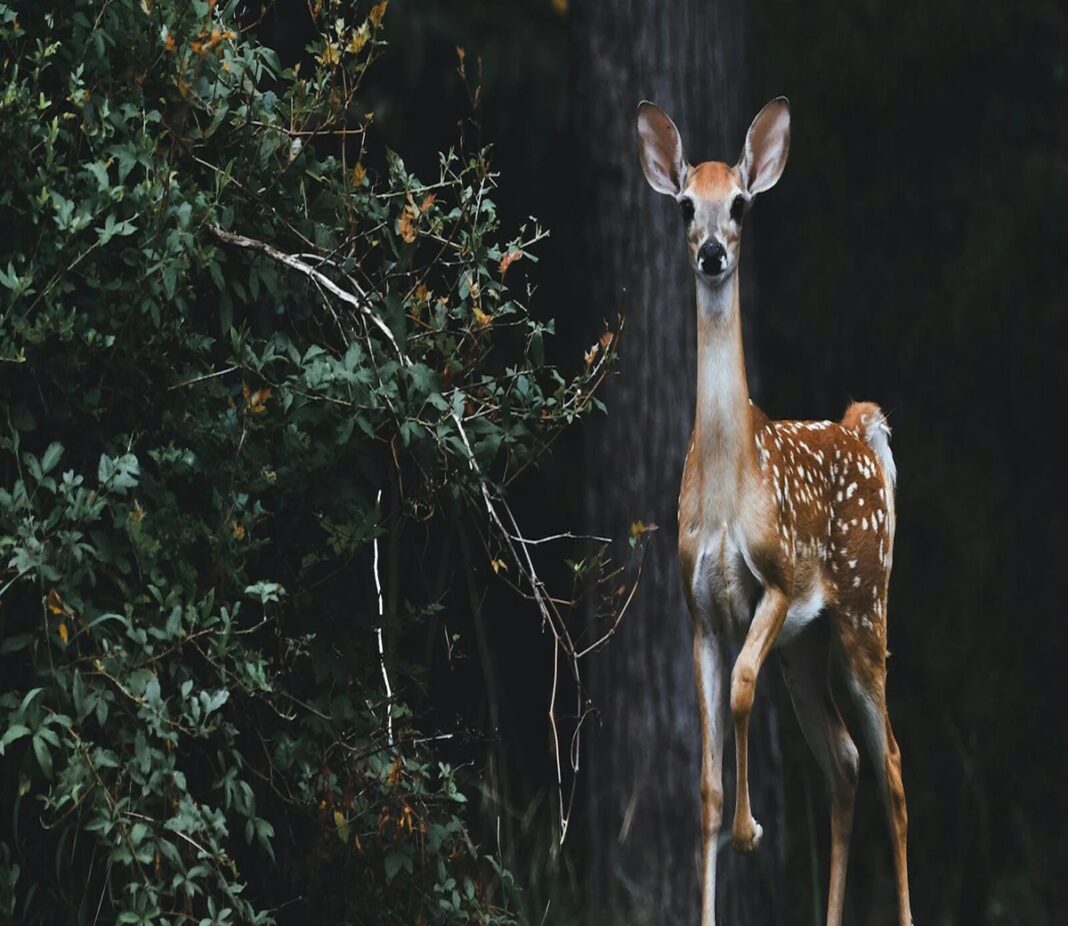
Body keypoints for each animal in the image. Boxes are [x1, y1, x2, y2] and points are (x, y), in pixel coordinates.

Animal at [635, 97, 913, 926]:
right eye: (685, 204)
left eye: (742, 205)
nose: (711, 254)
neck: (730, 487)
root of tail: (861, 428)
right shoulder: (697, 610)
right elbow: (703, 786)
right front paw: (731, 829)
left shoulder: (781, 581)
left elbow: (739, 686)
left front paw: (752, 828)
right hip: (810, 648)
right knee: (845, 761)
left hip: (863, 607)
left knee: (890, 764)